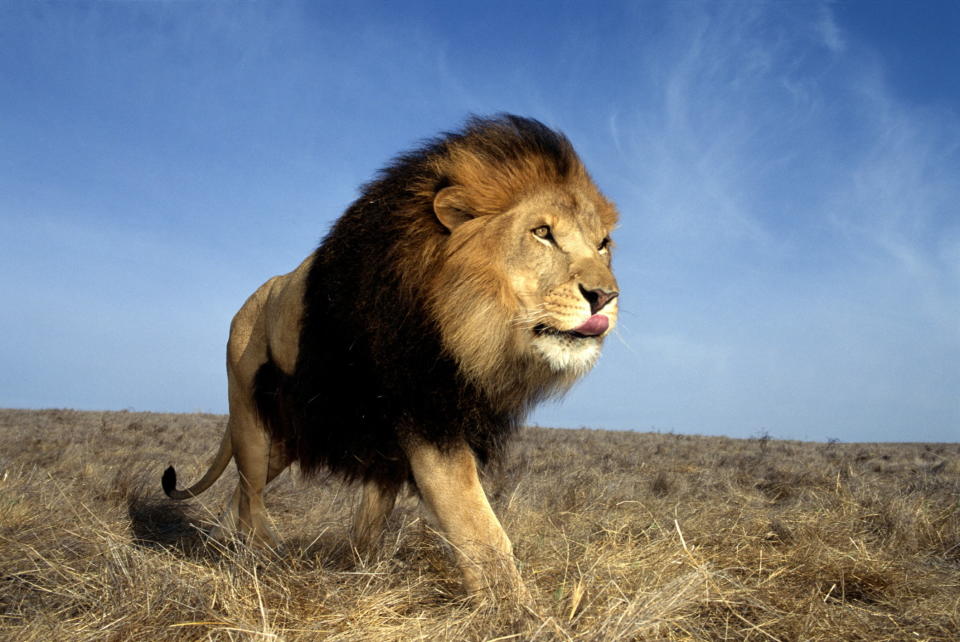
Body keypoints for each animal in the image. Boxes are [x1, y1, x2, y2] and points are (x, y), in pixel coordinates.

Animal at [161, 114, 620, 596]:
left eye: (603, 244)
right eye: (542, 233)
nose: (606, 296)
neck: (471, 326)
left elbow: (372, 520)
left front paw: (359, 572)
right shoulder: (429, 419)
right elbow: (482, 532)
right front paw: (520, 610)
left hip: (286, 439)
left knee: (239, 493)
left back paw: (223, 544)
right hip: (251, 419)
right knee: (250, 494)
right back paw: (260, 555)